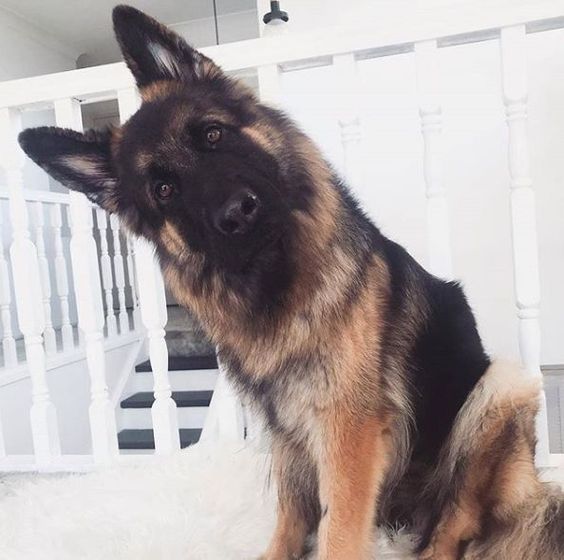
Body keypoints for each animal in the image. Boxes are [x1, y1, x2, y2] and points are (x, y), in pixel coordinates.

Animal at [18, 5, 564, 560]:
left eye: (212, 135)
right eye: (164, 190)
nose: (237, 213)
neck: (276, 286)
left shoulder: (348, 432)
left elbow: (339, 528)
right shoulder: (285, 428)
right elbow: (293, 506)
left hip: (501, 386)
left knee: (455, 524)